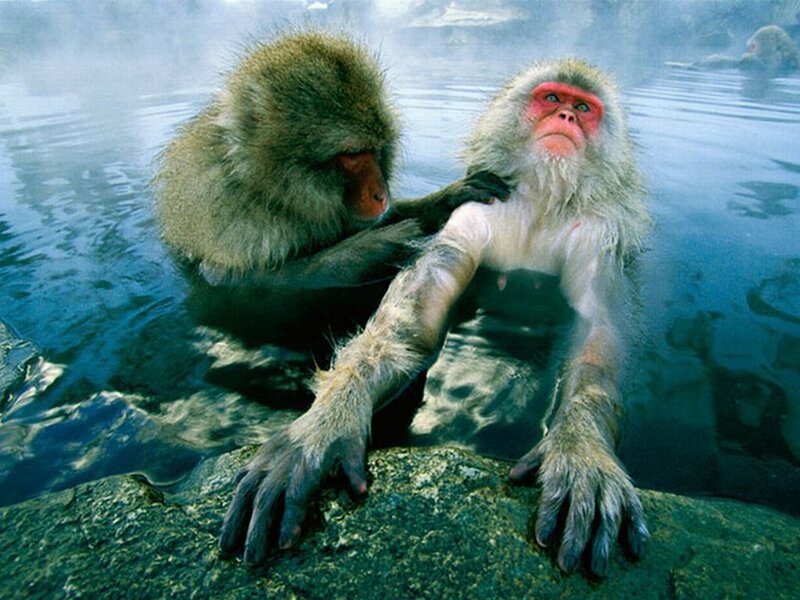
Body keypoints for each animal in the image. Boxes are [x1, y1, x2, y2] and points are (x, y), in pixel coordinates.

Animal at [153, 30, 508, 289]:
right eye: (351, 155)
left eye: (377, 149)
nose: (381, 194)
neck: (269, 194)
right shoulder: (235, 224)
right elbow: (240, 284)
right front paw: (373, 248)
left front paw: (449, 197)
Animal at [219, 57, 652, 578]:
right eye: (551, 98)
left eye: (584, 108)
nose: (566, 118)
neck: (543, 203)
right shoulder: (473, 215)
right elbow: (412, 323)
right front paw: (326, 423)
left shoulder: (599, 238)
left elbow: (596, 338)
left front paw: (581, 449)